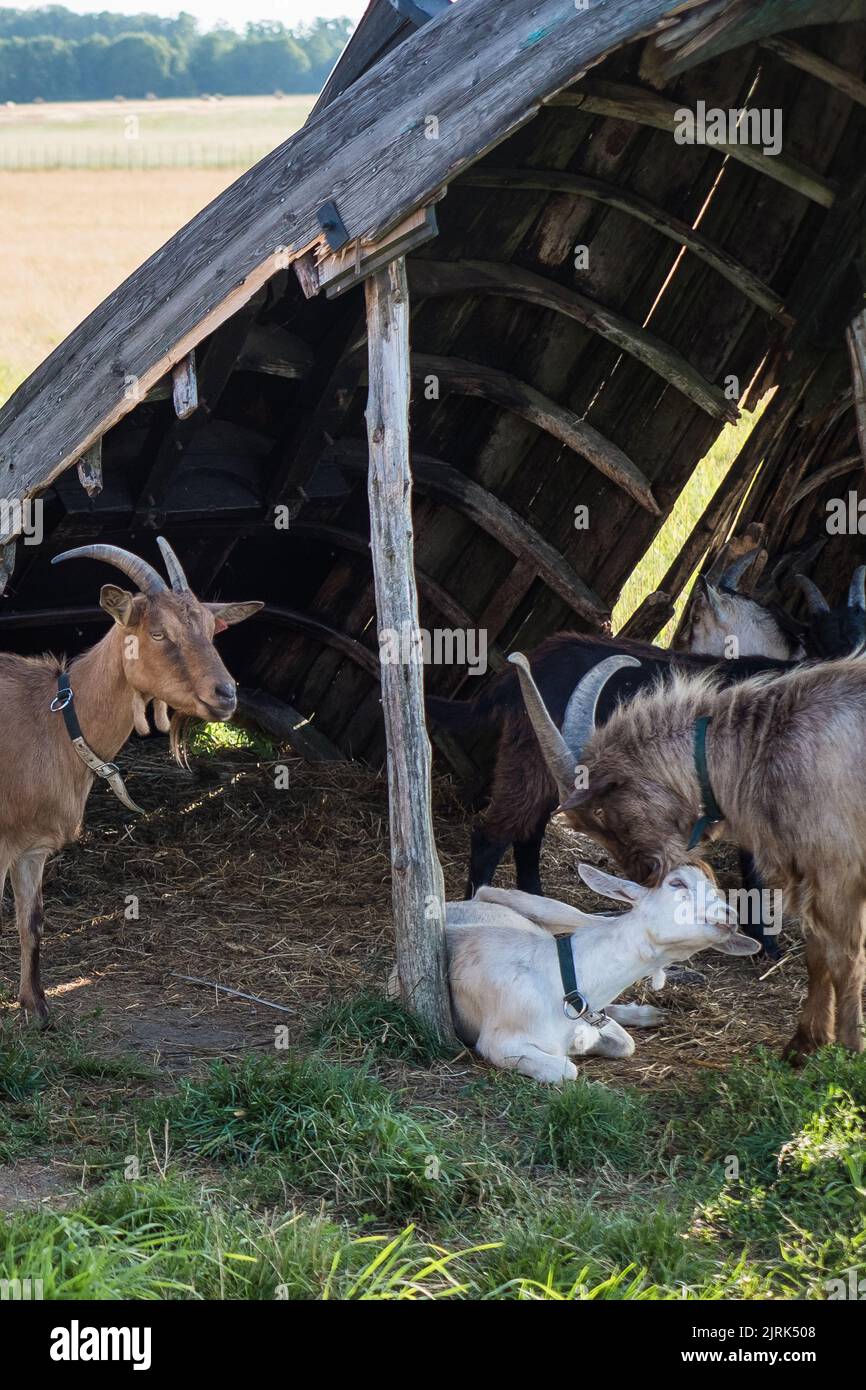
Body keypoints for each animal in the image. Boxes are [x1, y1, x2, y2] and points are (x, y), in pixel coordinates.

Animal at [0, 536, 261, 1028]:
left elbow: (33, 920)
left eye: (211, 630)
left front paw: (37, 1008)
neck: (55, 721)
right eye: (158, 633)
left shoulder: (31, 847)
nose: (226, 695)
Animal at [447, 861, 756, 1078]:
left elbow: (625, 1043)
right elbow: (567, 1070)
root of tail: (466, 902)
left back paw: (648, 1013)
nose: (730, 915)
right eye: (677, 882)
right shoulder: (499, 1043)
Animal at [511, 650, 866, 1061]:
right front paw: (803, 1045)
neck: (763, 747)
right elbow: (818, 955)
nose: (645, 874)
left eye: (602, 812)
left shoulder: (838, 871)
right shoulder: (811, 876)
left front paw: (850, 1050)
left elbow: (845, 958)